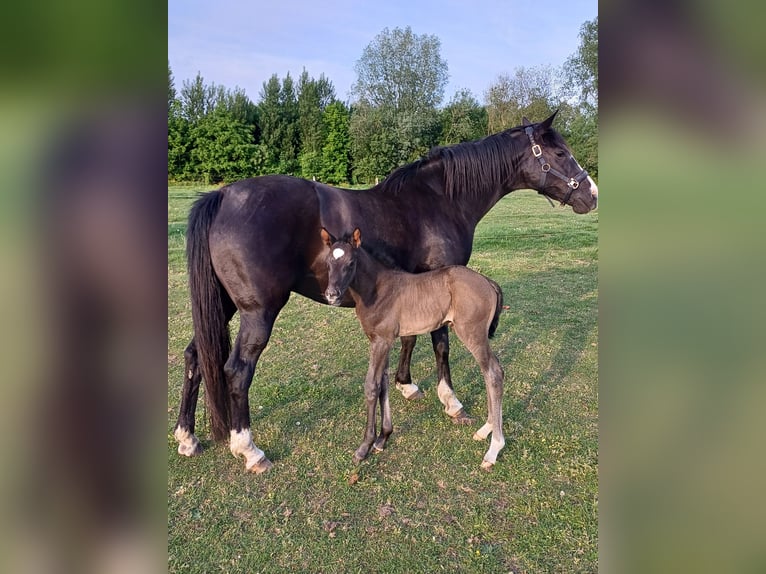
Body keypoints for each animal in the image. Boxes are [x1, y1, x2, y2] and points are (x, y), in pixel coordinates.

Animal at [321, 227, 506, 469]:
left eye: (351, 262)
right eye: (328, 262)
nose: (331, 295)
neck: (378, 290)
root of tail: (487, 281)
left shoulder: (380, 341)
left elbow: (371, 386)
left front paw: (364, 447)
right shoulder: (384, 341)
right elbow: (383, 385)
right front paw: (382, 438)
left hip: (472, 333)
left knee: (493, 373)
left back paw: (493, 449)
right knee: (491, 373)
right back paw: (485, 430)